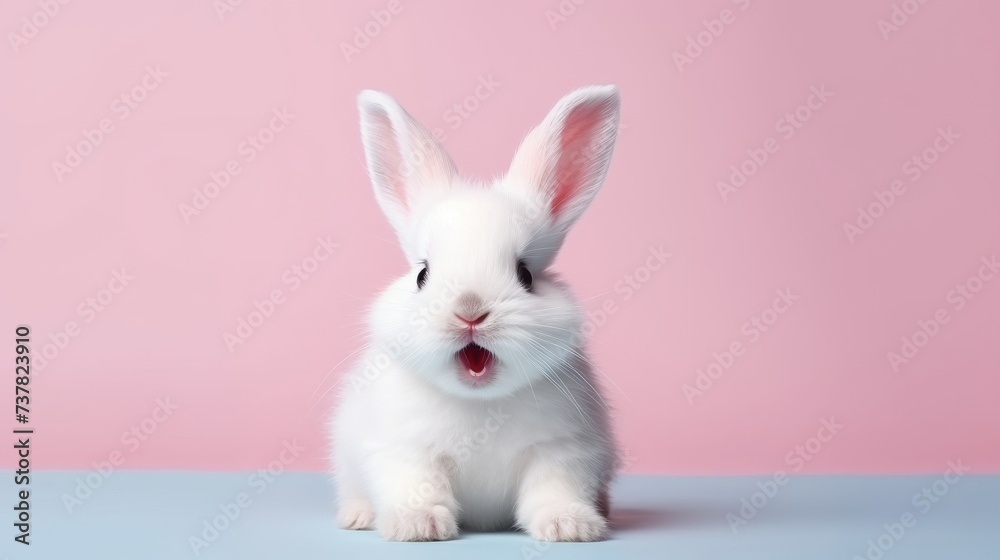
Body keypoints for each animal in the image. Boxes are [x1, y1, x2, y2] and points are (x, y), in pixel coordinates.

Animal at [331, 85, 622, 542]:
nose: (470, 312)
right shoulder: (405, 449)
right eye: (422, 275)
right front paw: (420, 525)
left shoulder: (564, 449)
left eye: (525, 274)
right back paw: (358, 517)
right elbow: (416, 485)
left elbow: (553, 489)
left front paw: (569, 526)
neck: (479, 402)